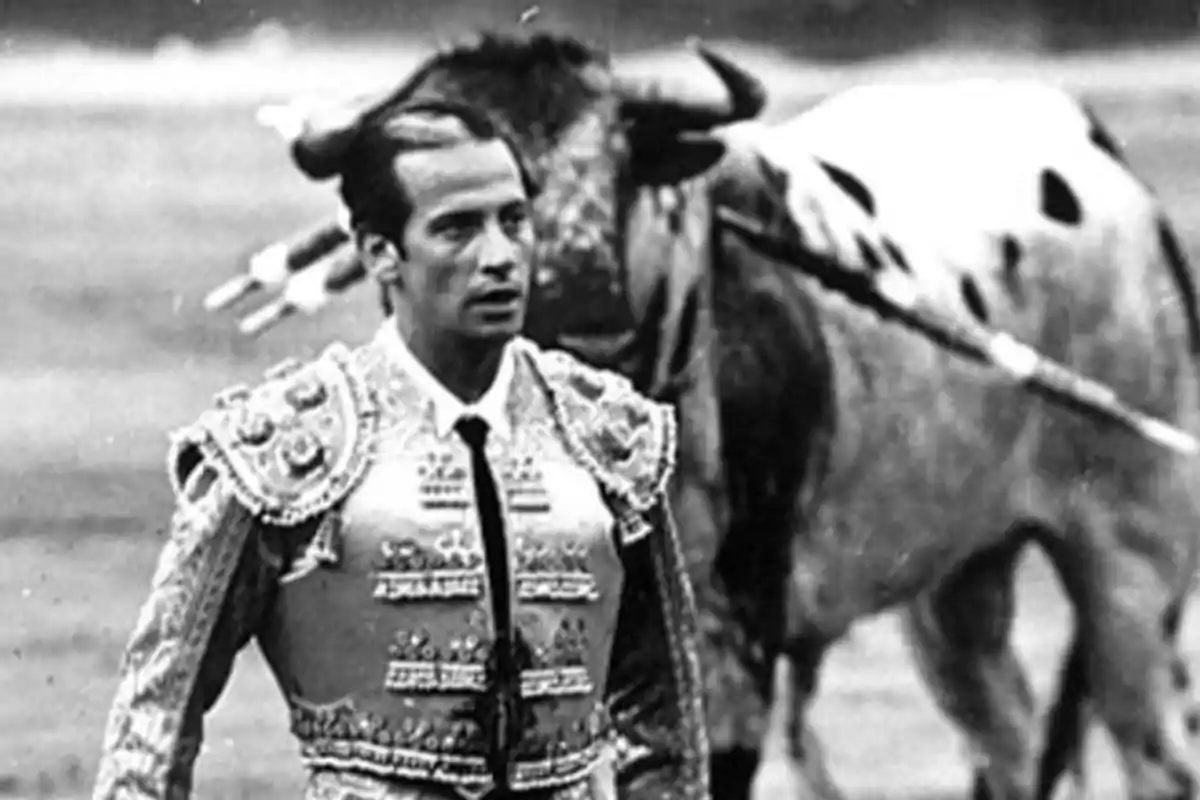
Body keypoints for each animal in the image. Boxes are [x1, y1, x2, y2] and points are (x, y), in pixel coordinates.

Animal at [204, 35, 1200, 800]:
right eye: (467, 209)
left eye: (615, 160)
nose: (585, 302)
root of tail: (1114, 175)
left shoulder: (736, 633)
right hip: (959, 586)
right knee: (1007, 731)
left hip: (1129, 568)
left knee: (1152, 747)